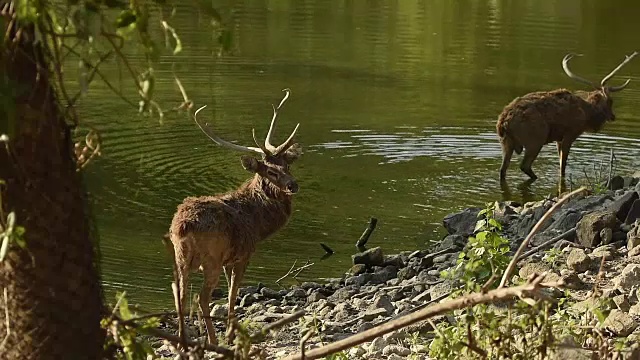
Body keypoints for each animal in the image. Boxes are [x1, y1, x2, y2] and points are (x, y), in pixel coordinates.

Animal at [168, 89, 302, 346]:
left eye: (287, 165)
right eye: (270, 171)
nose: (293, 185)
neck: (259, 223)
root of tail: (183, 226)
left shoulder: (228, 260)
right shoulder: (242, 254)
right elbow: (233, 294)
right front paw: (231, 334)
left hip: (180, 257)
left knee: (179, 292)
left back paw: (182, 338)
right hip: (210, 258)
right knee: (201, 298)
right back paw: (212, 340)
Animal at [498, 51, 636, 181]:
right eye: (610, 101)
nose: (613, 116)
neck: (587, 114)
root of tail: (503, 123)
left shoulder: (558, 138)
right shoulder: (570, 133)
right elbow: (563, 165)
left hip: (506, 142)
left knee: (502, 169)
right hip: (536, 138)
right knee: (524, 166)